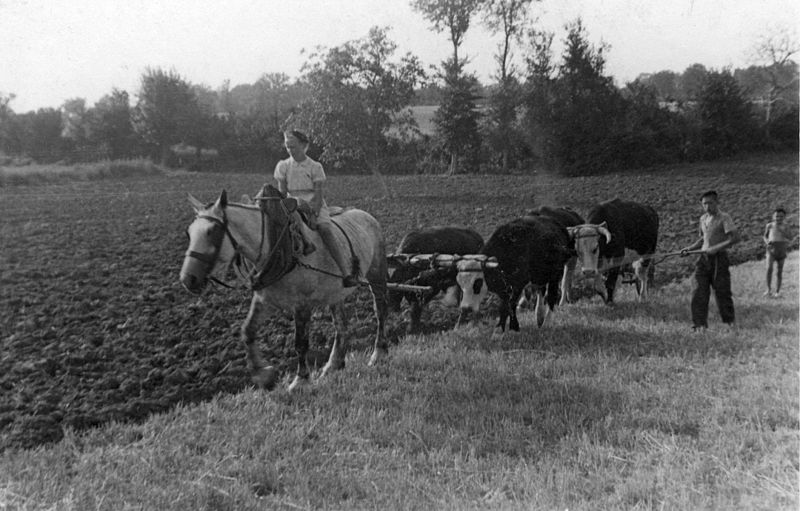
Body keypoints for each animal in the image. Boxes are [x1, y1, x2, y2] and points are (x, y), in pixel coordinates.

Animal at [184, 188, 390, 392]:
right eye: (189, 233)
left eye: (212, 231)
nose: (188, 279)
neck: (277, 247)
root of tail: (366, 215)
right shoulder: (264, 300)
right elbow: (247, 331)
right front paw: (263, 374)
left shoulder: (302, 304)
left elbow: (300, 343)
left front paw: (301, 379)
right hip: (335, 293)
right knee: (341, 325)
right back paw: (333, 365)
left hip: (377, 275)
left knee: (380, 312)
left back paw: (379, 353)